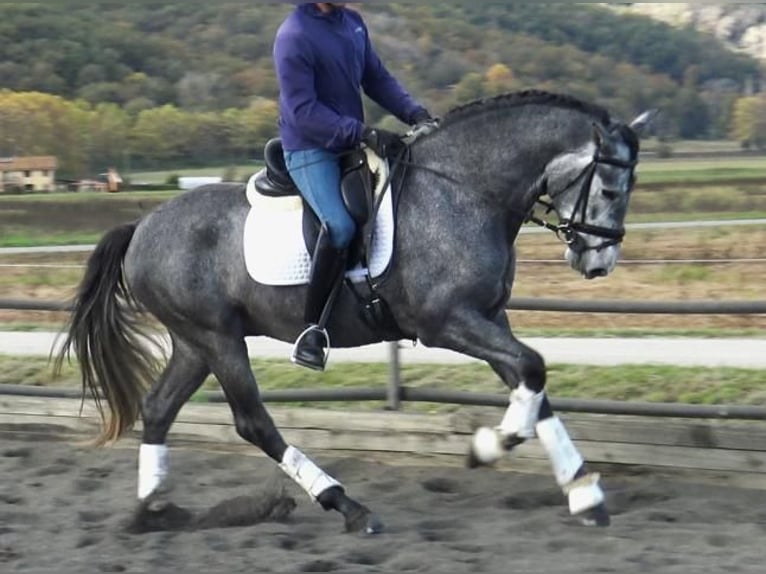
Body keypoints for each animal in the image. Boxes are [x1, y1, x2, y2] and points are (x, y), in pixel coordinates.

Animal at [54, 90, 656, 536]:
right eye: (609, 187)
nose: (598, 261)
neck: (463, 192)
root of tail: (142, 227)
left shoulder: (489, 318)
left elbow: (532, 382)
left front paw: (584, 493)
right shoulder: (446, 323)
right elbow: (531, 370)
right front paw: (488, 447)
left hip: (195, 342)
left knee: (158, 410)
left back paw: (154, 512)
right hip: (218, 339)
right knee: (253, 423)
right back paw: (348, 507)